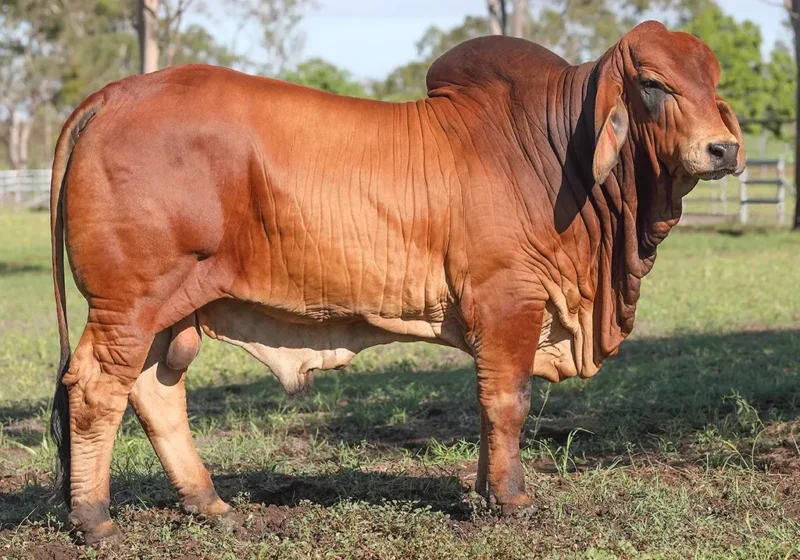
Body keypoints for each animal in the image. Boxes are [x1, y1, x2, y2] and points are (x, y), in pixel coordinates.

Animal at [49, 20, 744, 543]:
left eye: (713, 83)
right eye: (652, 84)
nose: (724, 149)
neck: (555, 156)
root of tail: (115, 94)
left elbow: (492, 405)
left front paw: (487, 494)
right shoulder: (509, 300)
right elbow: (508, 402)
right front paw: (509, 500)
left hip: (168, 308)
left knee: (154, 392)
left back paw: (208, 504)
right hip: (127, 304)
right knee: (95, 390)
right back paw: (95, 520)